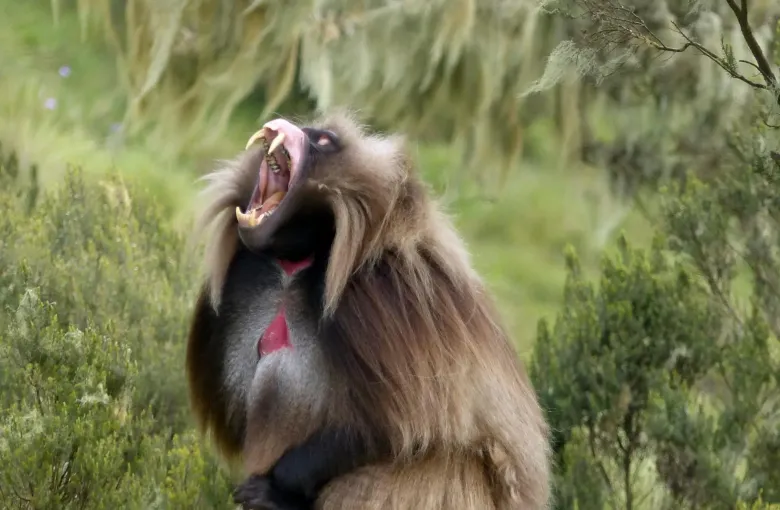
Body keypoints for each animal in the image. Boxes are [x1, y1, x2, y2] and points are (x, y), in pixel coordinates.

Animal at [186, 112, 552, 509]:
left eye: (324, 140)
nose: (286, 122)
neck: (300, 259)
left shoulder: (379, 294)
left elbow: (402, 429)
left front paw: (273, 489)